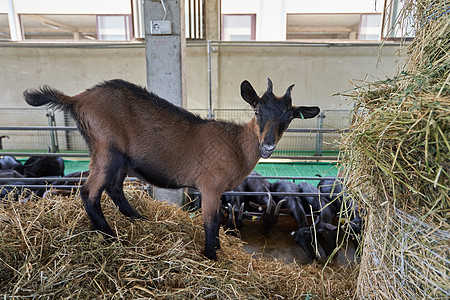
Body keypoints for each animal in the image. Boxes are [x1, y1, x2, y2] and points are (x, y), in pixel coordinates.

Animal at [24, 78, 320, 258]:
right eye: (257, 110)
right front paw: (211, 256)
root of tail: (77, 99)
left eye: (288, 118)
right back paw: (109, 235)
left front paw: (218, 248)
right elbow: (211, 221)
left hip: (119, 158)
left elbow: (221, 218)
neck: (236, 142)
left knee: (114, 188)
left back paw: (138, 220)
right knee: (89, 192)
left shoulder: (221, 190)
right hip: (106, 148)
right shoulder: (210, 185)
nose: (267, 146)